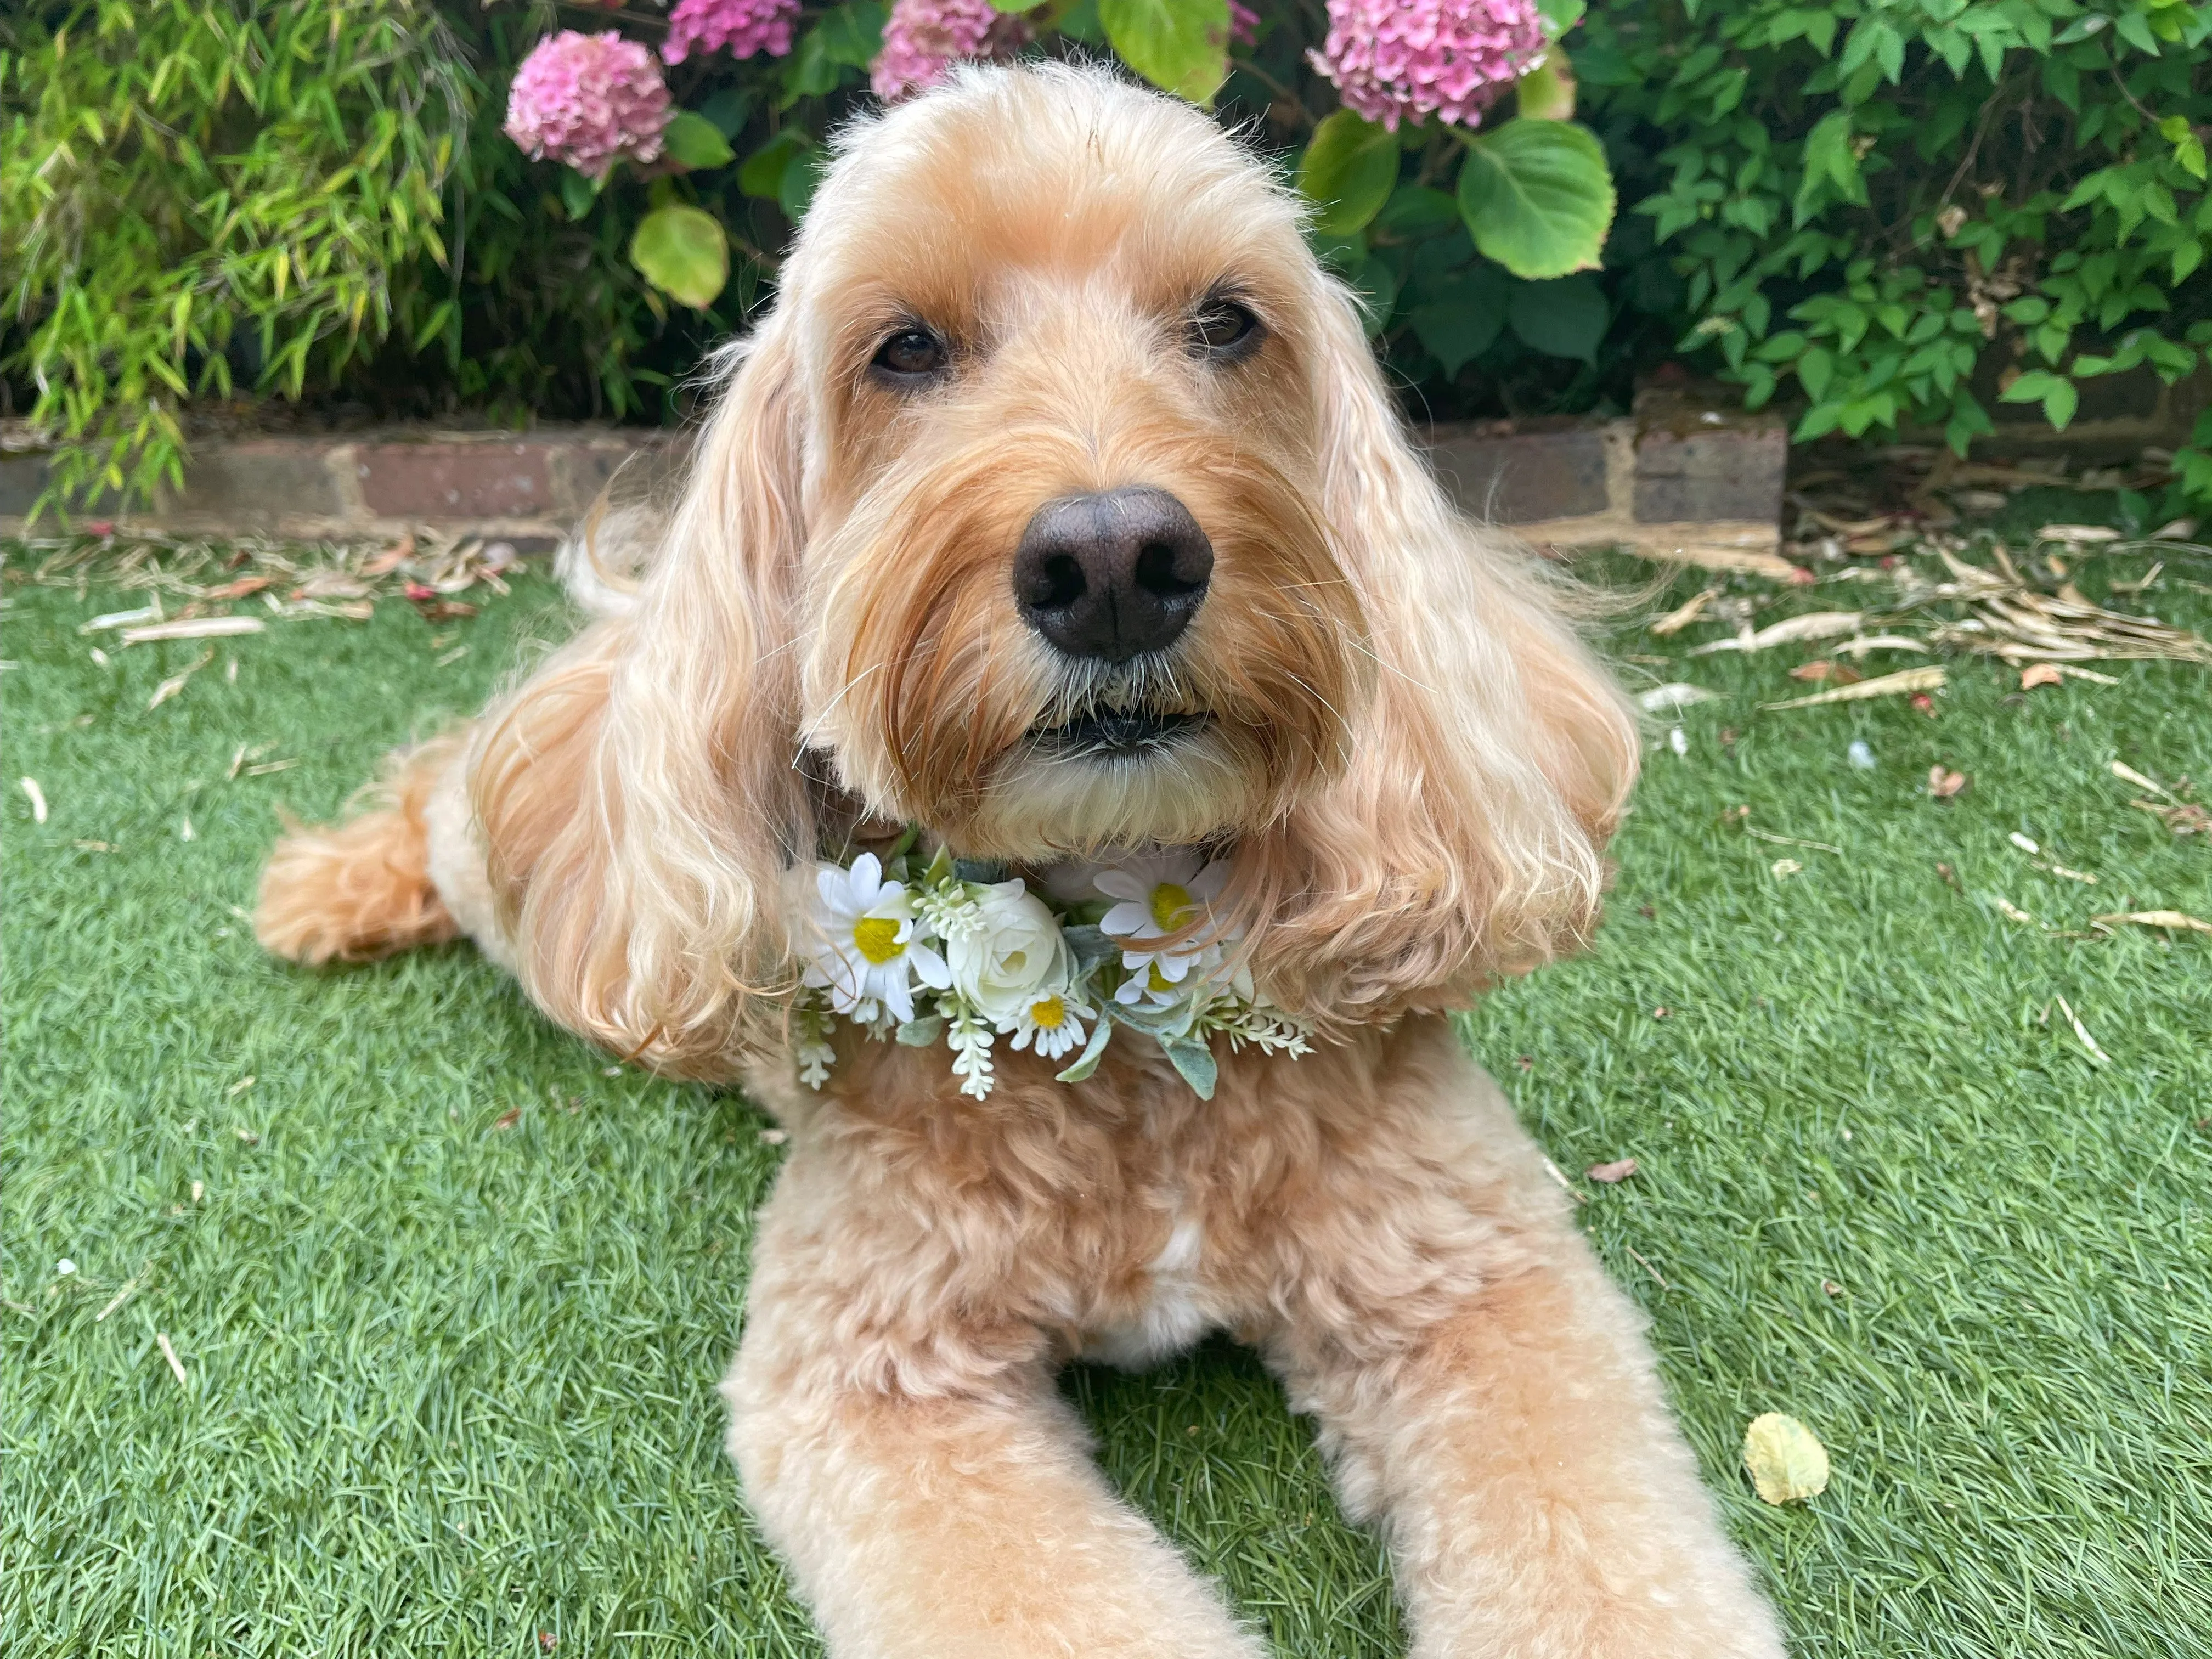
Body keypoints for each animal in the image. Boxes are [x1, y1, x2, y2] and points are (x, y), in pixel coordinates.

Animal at [254, 61, 1778, 1659]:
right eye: (906, 349)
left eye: (1228, 322)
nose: (1115, 564)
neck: (1118, 982)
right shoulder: (873, 1375)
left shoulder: (1476, 1271)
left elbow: (1601, 1553)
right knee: (442, 788)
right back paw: (330, 889)